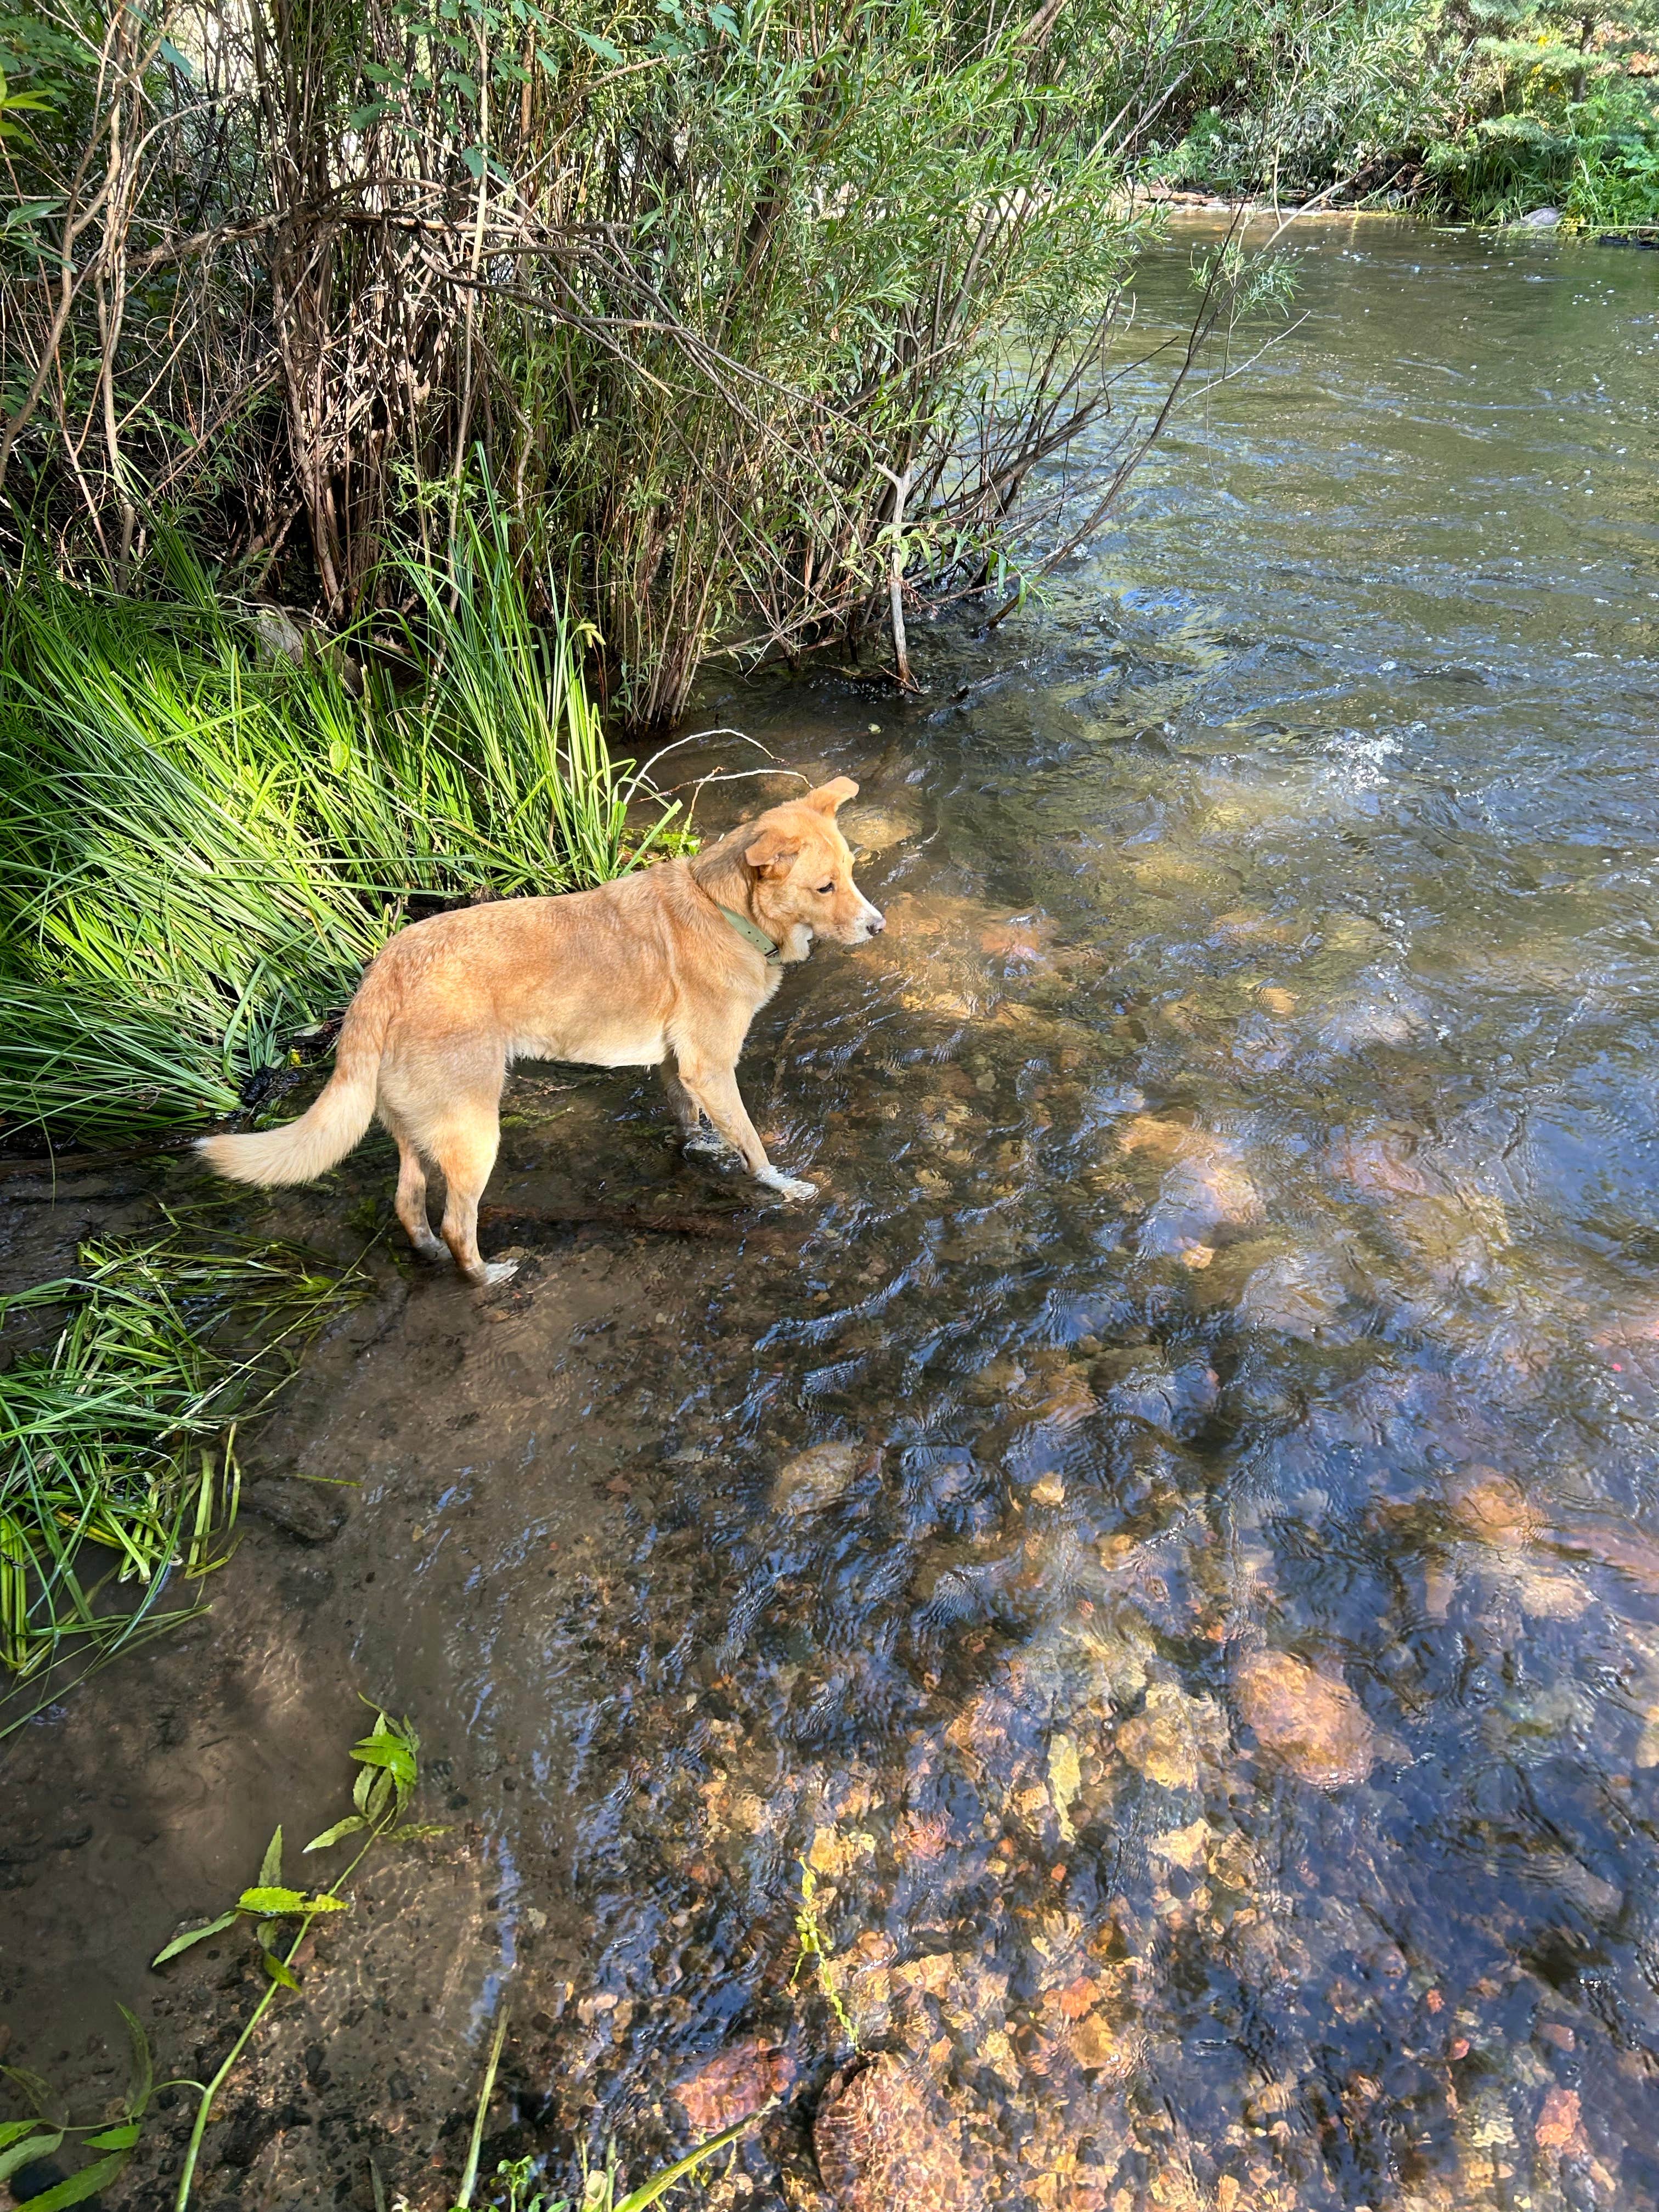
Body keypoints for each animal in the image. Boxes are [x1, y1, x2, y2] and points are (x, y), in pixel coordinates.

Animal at [198, 787, 884, 1291]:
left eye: (851, 873)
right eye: (824, 887)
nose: (878, 927)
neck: (725, 910)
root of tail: (384, 973)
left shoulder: (677, 1067)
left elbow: (693, 1123)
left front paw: (705, 1148)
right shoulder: (710, 1064)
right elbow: (753, 1144)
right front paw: (783, 1186)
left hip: (417, 1127)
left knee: (409, 1204)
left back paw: (430, 1257)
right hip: (474, 1129)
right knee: (458, 1223)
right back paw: (488, 1277)